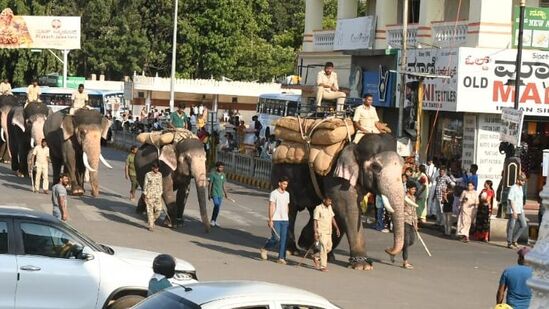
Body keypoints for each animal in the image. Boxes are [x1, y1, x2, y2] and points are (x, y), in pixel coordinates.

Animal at [270, 134, 402, 268]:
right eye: (376, 167)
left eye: (403, 167)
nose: (388, 251)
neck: (355, 143)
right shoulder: (336, 177)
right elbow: (347, 209)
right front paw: (363, 265)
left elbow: (339, 212)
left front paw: (326, 255)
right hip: (282, 175)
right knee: (290, 210)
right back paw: (291, 250)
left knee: (315, 209)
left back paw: (306, 245)